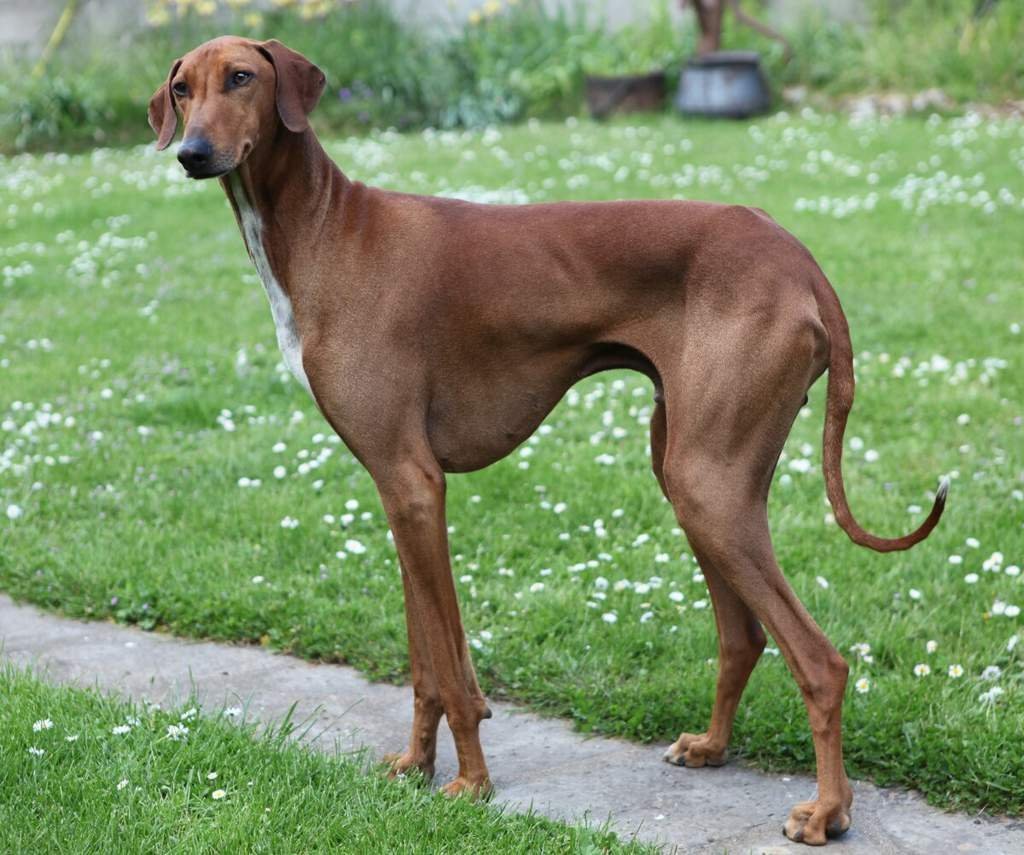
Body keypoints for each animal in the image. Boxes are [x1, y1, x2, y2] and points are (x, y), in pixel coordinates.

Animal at [149, 36, 946, 845]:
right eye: (182, 88)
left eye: (242, 78)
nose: (192, 153)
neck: (325, 228)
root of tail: (796, 254)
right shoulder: (394, 490)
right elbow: (426, 662)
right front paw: (414, 766)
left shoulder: (414, 483)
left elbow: (450, 669)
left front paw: (470, 784)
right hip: (693, 476)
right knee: (743, 635)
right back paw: (713, 746)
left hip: (708, 485)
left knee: (821, 661)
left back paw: (829, 810)